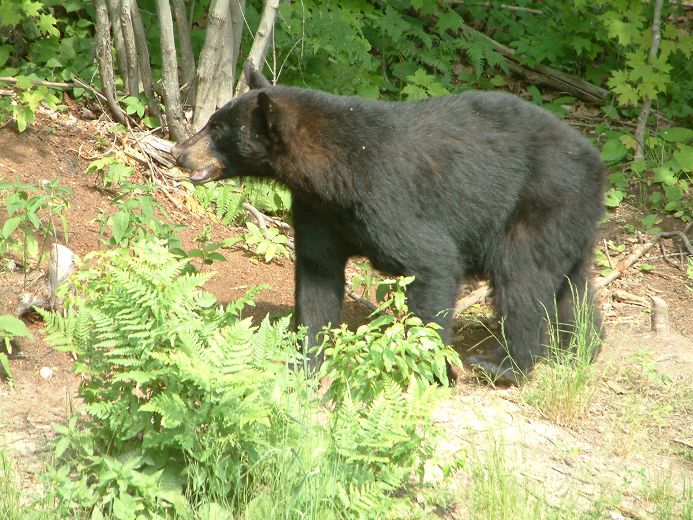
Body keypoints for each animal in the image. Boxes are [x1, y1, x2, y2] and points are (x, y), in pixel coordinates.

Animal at [173, 64, 604, 382]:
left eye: (217, 129)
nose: (179, 152)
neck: (330, 171)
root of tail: (595, 161)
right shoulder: (318, 211)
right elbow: (317, 277)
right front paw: (306, 361)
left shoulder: (386, 195)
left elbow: (432, 263)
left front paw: (429, 367)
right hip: (570, 220)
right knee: (573, 288)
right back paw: (581, 347)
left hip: (540, 203)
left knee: (523, 281)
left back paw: (505, 365)